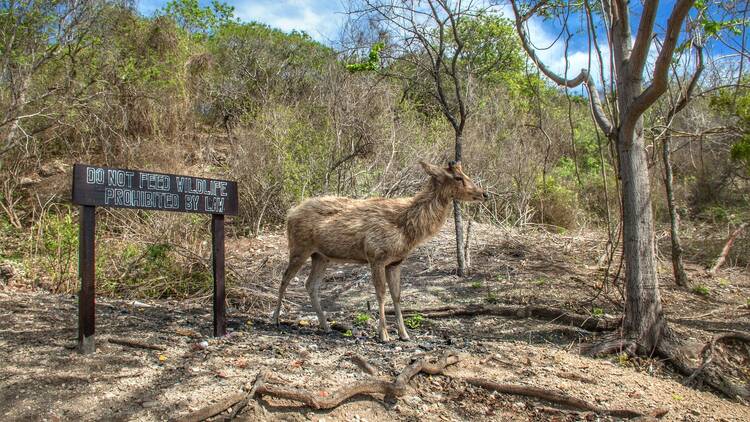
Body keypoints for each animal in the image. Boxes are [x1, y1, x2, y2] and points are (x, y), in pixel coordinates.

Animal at [272, 160, 488, 342]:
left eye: (464, 173)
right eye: (458, 177)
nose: (484, 194)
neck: (407, 231)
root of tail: (290, 214)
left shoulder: (395, 262)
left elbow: (397, 296)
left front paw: (404, 334)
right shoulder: (376, 256)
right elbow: (381, 294)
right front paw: (383, 335)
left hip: (321, 256)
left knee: (310, 284)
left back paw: (325, 326)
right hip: (299, 247)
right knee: (285, 278)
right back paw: (275, 319)